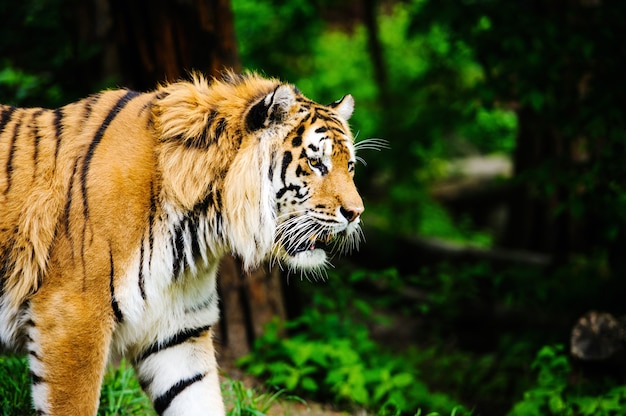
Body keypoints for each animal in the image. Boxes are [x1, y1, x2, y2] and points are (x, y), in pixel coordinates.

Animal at [0, 72, 368, 416]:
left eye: (349, 166)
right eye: (316, 163)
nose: (356, 213)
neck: (199, 228)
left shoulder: (177, 332)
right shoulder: (71, 318)